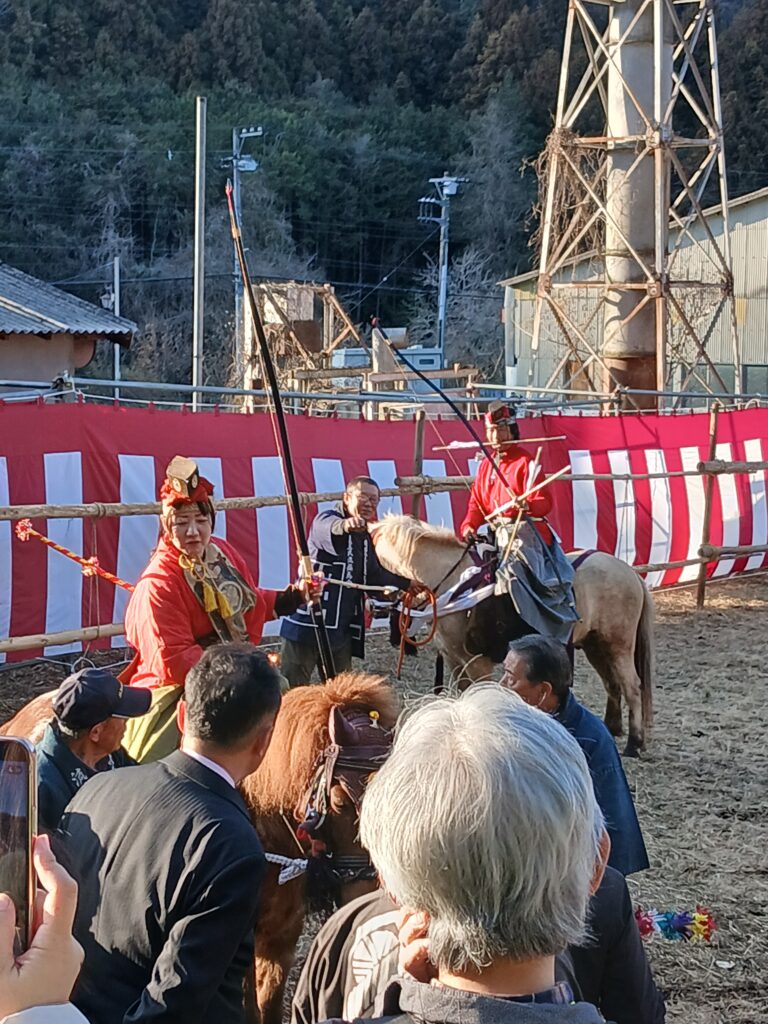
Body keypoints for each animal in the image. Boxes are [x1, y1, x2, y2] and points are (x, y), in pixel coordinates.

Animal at [370, 515, 654, 756]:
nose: (373, 608)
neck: (455, 583)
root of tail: (630, 572)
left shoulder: (478, 662)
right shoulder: (454, 660)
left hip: (619, 644)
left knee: (632, 685)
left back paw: (635, 742)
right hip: (596, 644)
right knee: (612, 683)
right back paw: (611, 728)